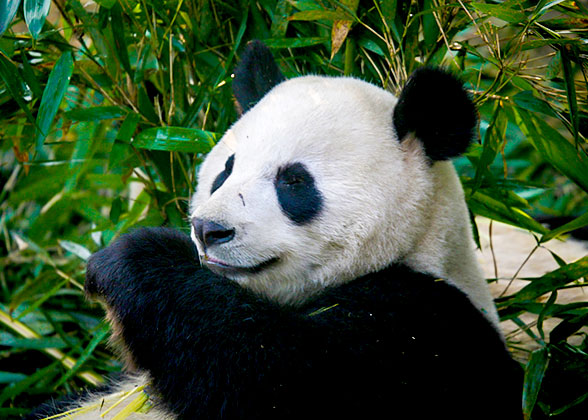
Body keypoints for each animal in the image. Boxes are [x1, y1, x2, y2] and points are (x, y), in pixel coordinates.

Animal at [28, 41, 524, 420]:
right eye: (225, 171)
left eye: (294, 182)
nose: (209, 230)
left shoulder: (424, 337)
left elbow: (283, 376)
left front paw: (132, 259)